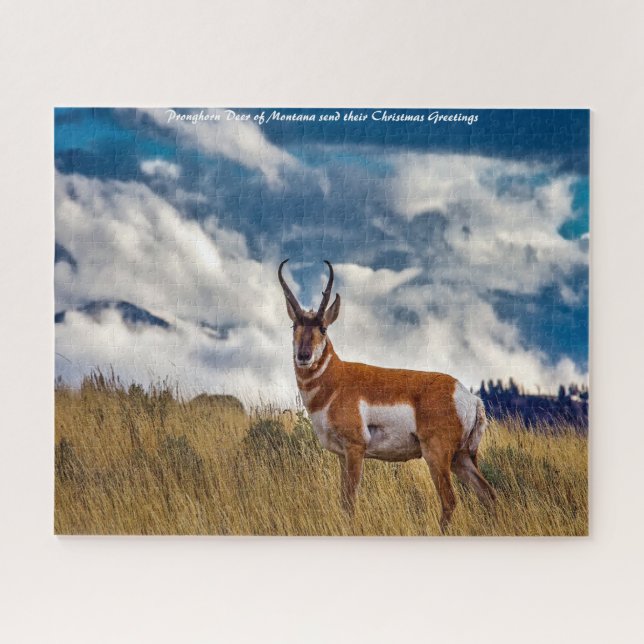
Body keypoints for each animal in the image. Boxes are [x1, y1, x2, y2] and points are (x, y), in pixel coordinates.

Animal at [278, 259, 496, 531]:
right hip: (461, 458)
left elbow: (349, 501)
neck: (337, 379)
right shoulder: (341, 455)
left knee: (450, 501)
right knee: (488, 494)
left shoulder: (355, 449)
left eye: (323, 327)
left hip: (437, 456)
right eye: (294, 325)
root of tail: (469, 397)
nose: (304, 356)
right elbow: (342, 499)